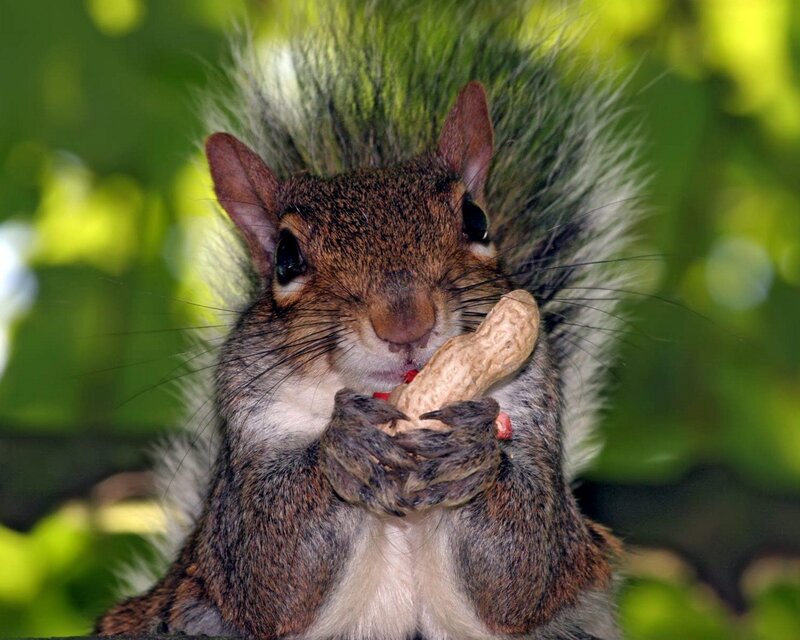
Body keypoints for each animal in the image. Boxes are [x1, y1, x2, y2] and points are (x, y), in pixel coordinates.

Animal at [95, 3, 640, 639]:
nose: (406, 323)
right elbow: (267, 565)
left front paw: (472, 447)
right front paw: (345, 444)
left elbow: (525, 568)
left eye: (477, 220)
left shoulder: (533, 411)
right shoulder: (245, 452)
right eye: (286, 258)